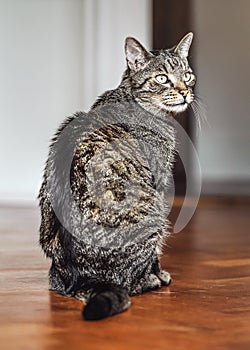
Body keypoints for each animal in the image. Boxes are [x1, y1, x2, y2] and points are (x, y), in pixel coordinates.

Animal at [38, 32, 195, 320]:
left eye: (188, 75)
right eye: (162, 78)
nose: (184, 92)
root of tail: (80, 277)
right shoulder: (157, 182)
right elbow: (155, 256)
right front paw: (159, 273)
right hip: (153, 213)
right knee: (130, 281)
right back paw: (151, 279)